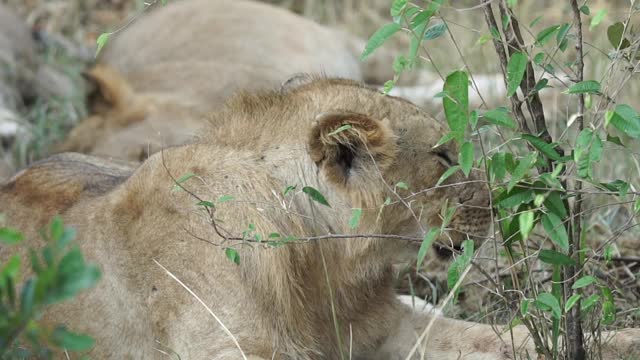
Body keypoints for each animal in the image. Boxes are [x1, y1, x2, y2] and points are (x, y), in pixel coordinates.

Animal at [5, 77, 640, 358]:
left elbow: (498, 338)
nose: (500, 200)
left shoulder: (388, 332)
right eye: (442, 156)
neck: (325, 269)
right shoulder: (236, 349)